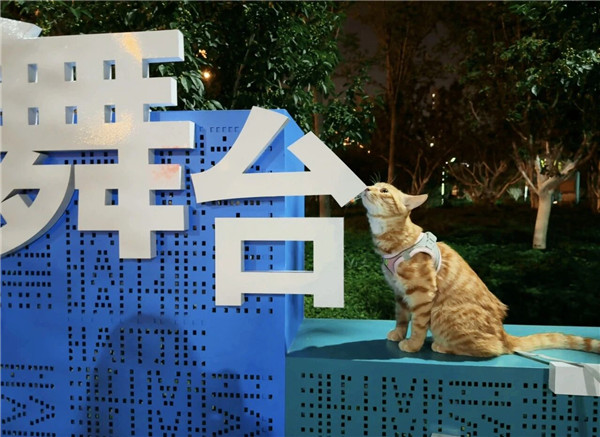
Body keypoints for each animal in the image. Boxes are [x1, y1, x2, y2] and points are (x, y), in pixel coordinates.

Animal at [361, 182, 600, 357]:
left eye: (384, 190)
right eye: (373, 185)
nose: (366, 188)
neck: (394, 241)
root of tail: (503, 332)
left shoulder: (421, 293)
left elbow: (418, 324)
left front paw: (412, 345)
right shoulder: (399, 292)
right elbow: (401, 317)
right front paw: (399, 334)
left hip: (441, 312)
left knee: (494, 349)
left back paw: (443, 346)